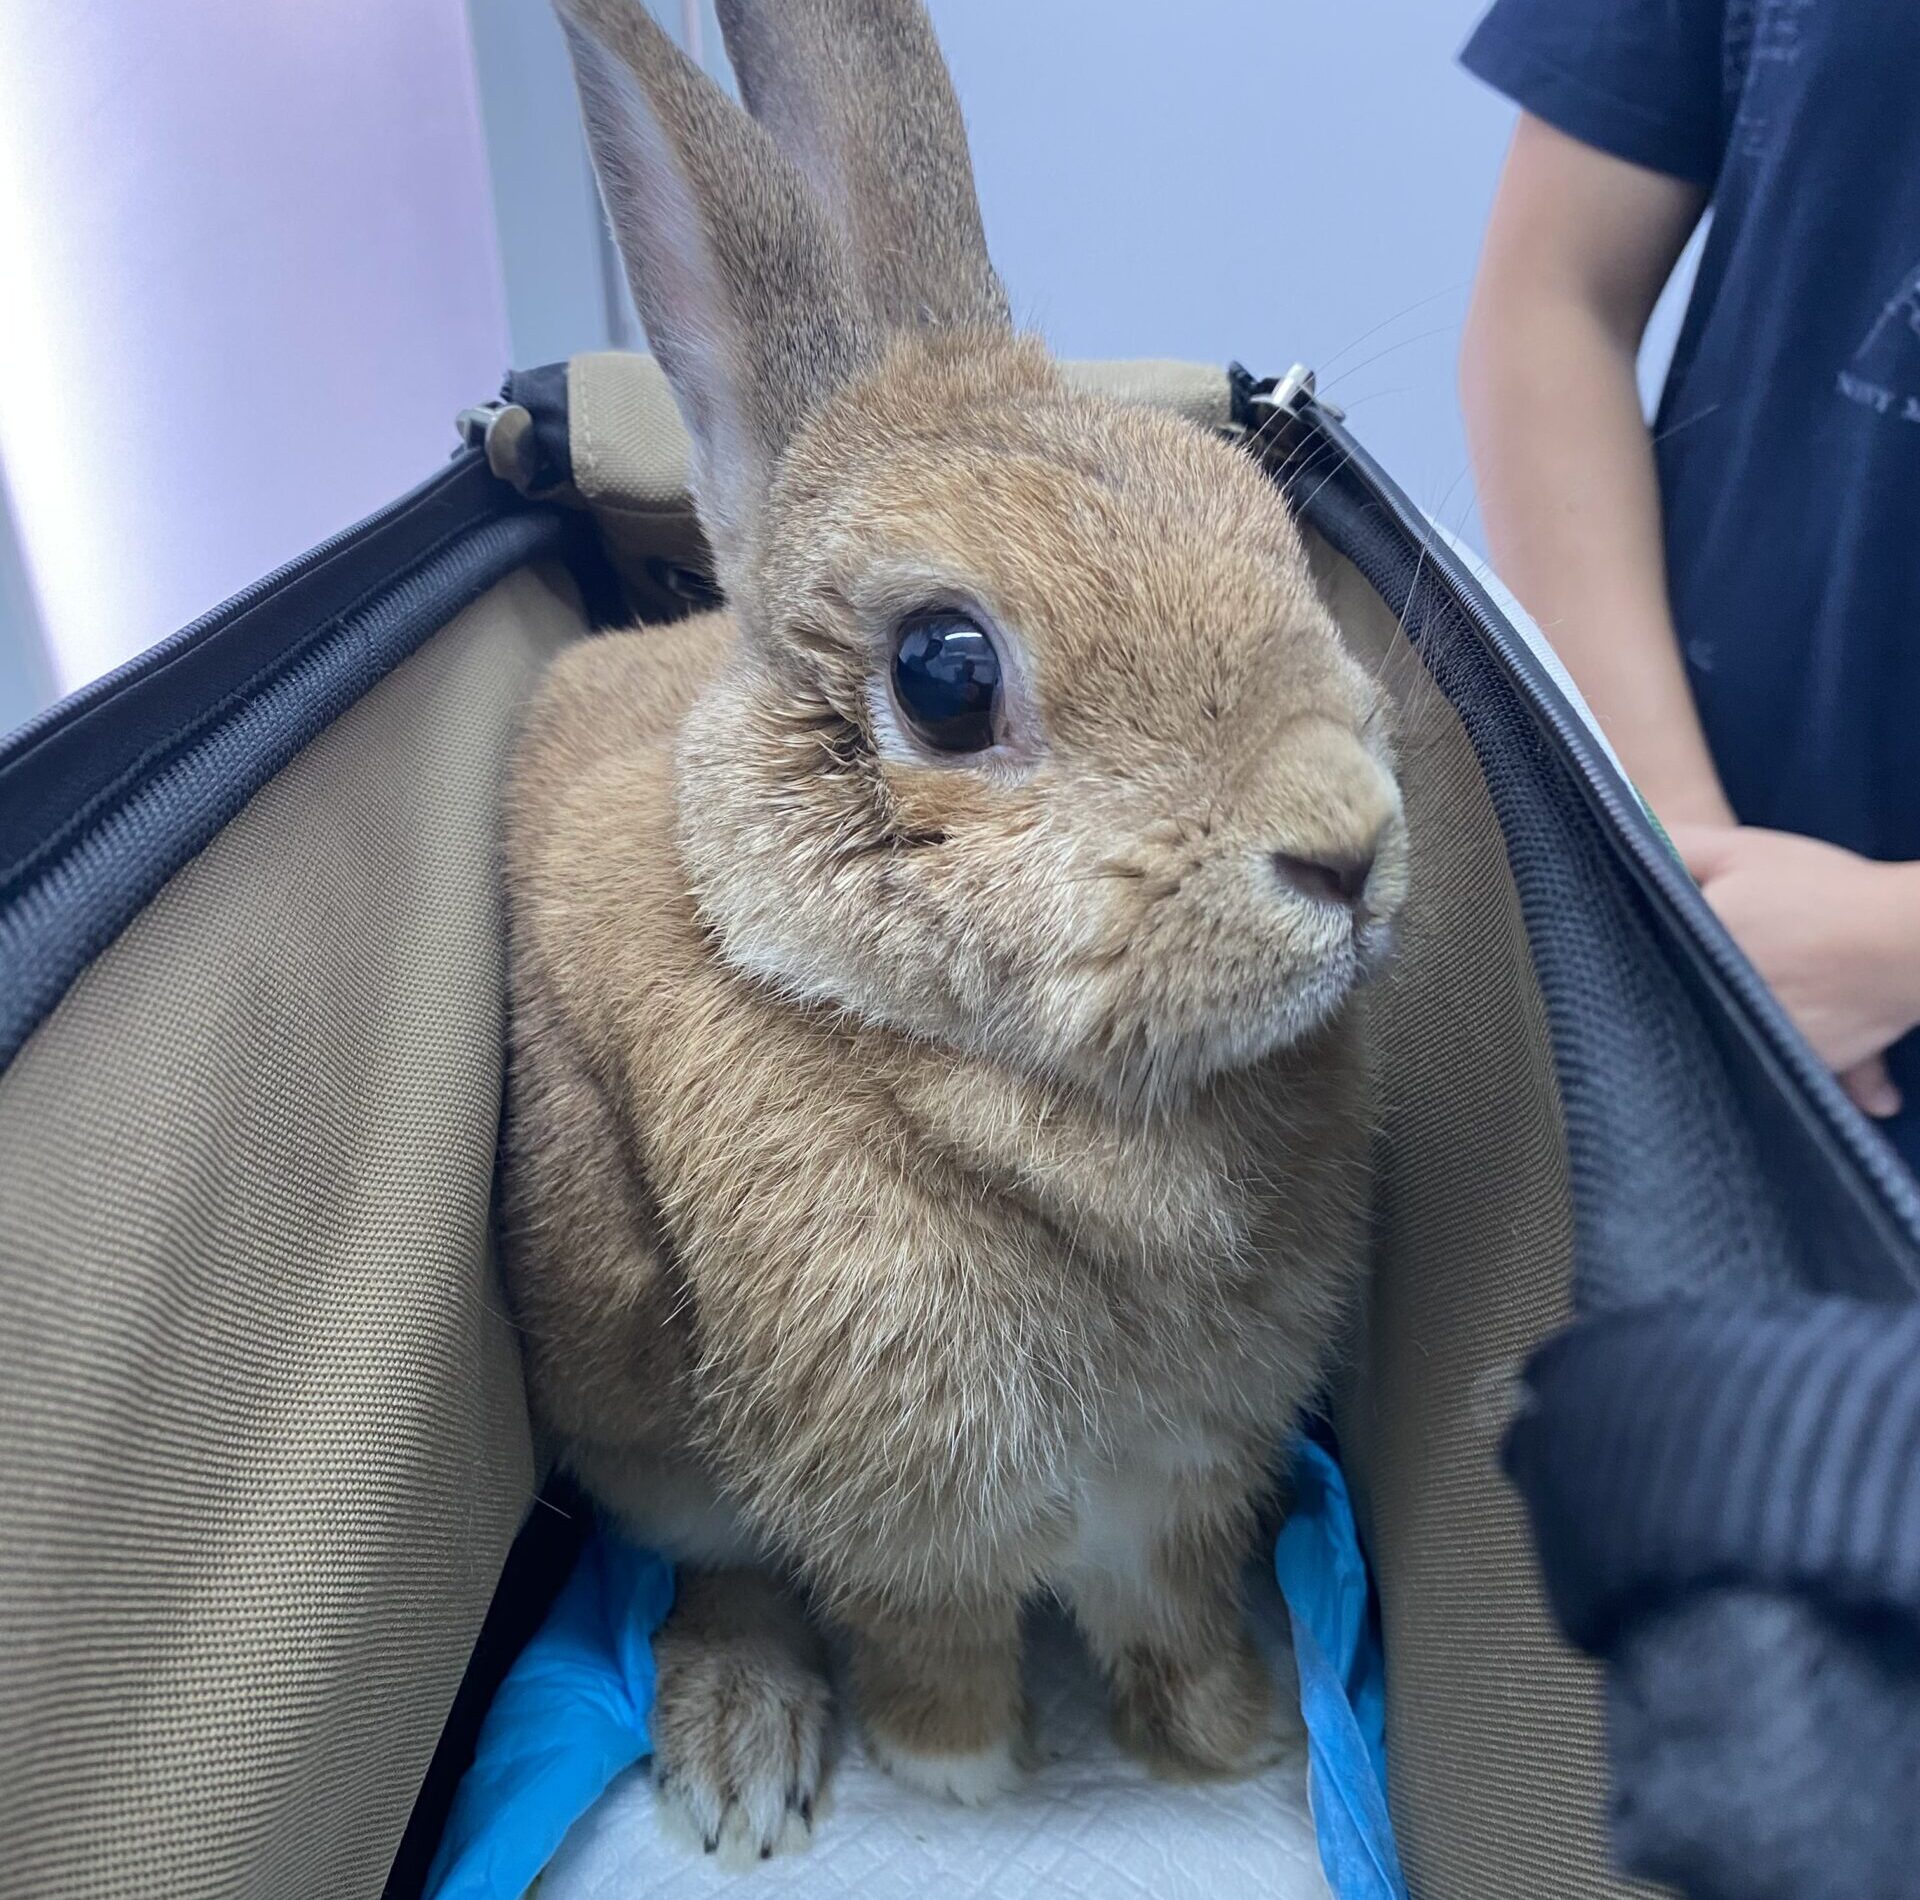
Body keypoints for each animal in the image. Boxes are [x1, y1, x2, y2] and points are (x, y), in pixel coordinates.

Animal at [500, 0, 1409, 1865]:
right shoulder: (913, 1526)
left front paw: (1228, 1737)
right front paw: (960, 1772)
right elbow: (928, 1645)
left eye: (1254, 518)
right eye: (943, 672)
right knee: (713, 1571)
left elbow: (1175, 1615)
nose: (1348, 847)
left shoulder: (1183, 1492)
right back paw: (746, 1757)